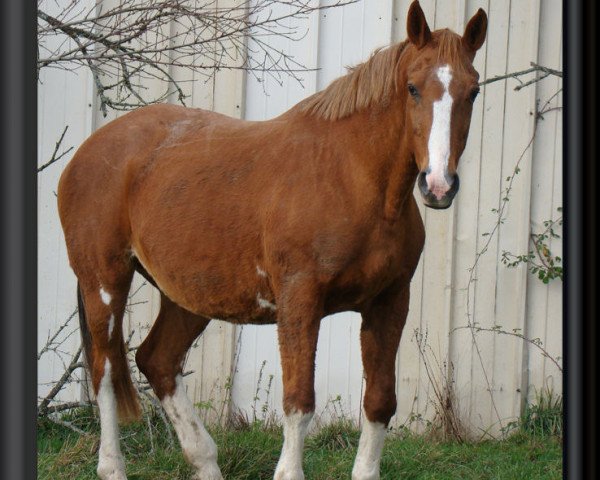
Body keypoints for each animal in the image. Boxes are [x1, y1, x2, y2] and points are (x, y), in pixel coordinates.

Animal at [56, 1, 488, 478]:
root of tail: (90, 150)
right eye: (412, 88)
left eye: (473, 92)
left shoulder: (390, 301)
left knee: (156, 360)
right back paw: (113, 465)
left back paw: (204, 458)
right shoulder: (300, 300)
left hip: (189, 295)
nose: (438, 185)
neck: (351, 180)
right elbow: (299, 402)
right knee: (104, 372)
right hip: (104, 282)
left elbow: (379, 402)